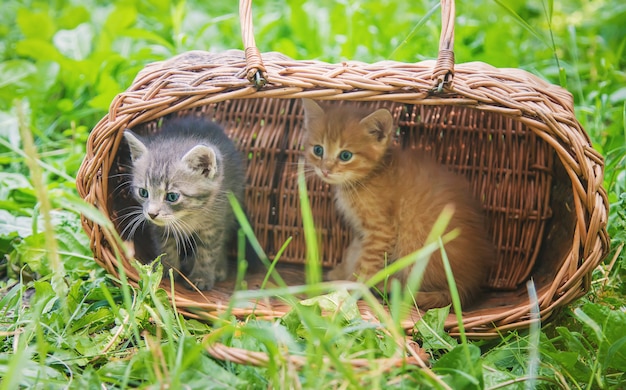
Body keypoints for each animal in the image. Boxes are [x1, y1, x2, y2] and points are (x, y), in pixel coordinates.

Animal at [123, 116, 245, 290]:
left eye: (172, 196)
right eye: (143, 192)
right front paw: (164, 270)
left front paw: (201, 277)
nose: (152, 214)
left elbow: (208, 252)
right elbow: (166, 247)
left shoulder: (214, 225)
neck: (187, 215)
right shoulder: (161, 228)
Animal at [300, 99, 494, 310]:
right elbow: (352, 252)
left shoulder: (381, 231)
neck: (367, 178)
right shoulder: (362, 233)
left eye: (345, 156)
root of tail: (469, 284)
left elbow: (365, 265)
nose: (325, 170)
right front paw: (340, 273)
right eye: (318, 150)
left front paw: (349, 289)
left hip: (412, 242)